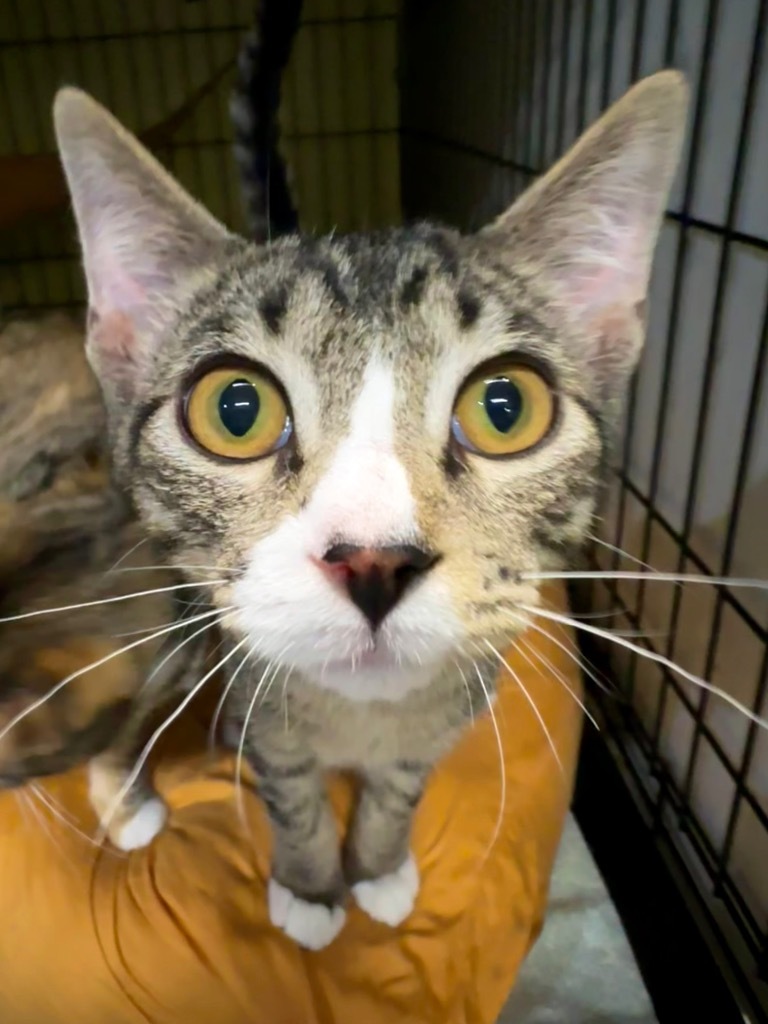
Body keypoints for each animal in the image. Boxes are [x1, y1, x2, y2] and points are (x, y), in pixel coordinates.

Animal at [52, 70, 692, 950]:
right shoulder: (264, 708)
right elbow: (290, 791)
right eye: (236, 410)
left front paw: (380, 867)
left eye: (505, 408)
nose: (374, 558)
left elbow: (401, 788)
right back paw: (128, 801)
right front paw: (312, 888)